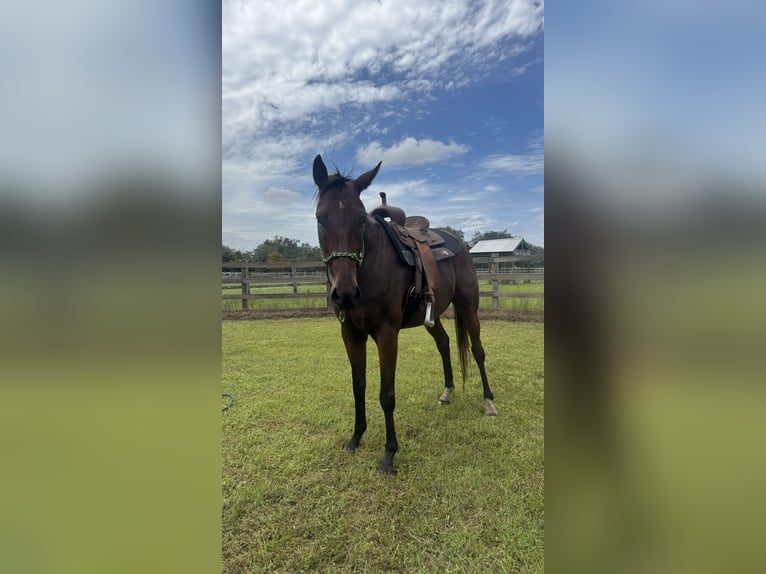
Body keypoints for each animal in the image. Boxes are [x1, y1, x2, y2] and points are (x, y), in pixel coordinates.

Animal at [313, 154, 496, 475]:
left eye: (361, 219)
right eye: (320, 218)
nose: (345, 293)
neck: (370, 268)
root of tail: (458, 242)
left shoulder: (387, 334)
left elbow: (387, 394)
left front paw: (389, 455)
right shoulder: (351, 333)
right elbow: (358, 385)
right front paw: (355, 438)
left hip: (468, 306)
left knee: (477, 350)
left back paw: (488, 401)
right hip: (431, 317)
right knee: (444, 343)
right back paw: (447, 391)